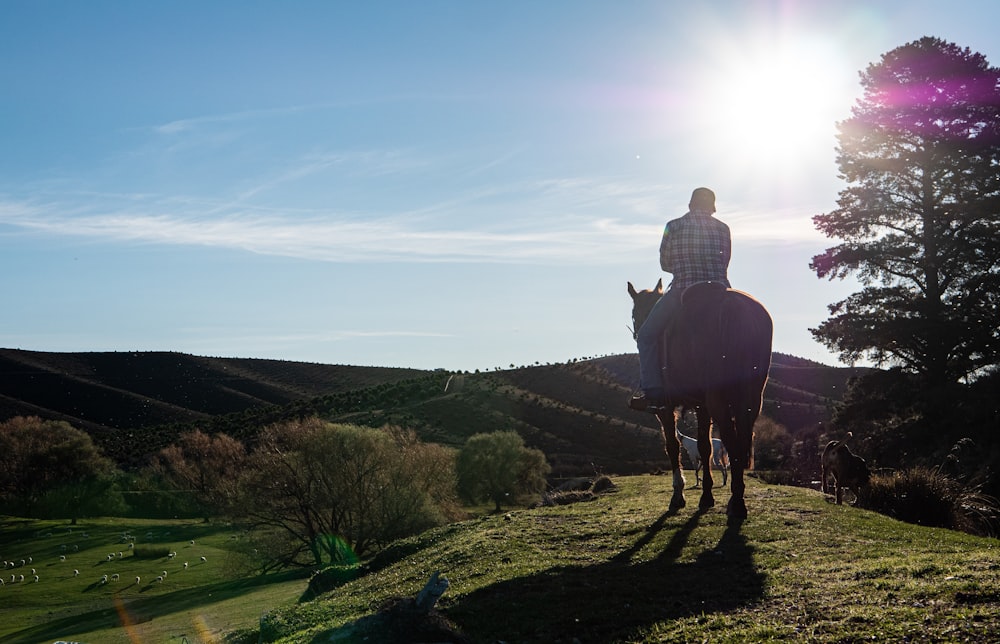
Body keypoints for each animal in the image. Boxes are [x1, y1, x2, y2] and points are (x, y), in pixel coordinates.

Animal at [624, 280, 772, 520]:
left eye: (634, 314)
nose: (637, 333)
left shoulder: (665, 409)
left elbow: (672, 446)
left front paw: (678, 495)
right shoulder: (702, 407)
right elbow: (704, 447)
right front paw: (706, 496)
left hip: (719, 399)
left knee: (731, 441)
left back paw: (737, 503)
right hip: (751, 398)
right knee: (741, 440)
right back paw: (737, 498)